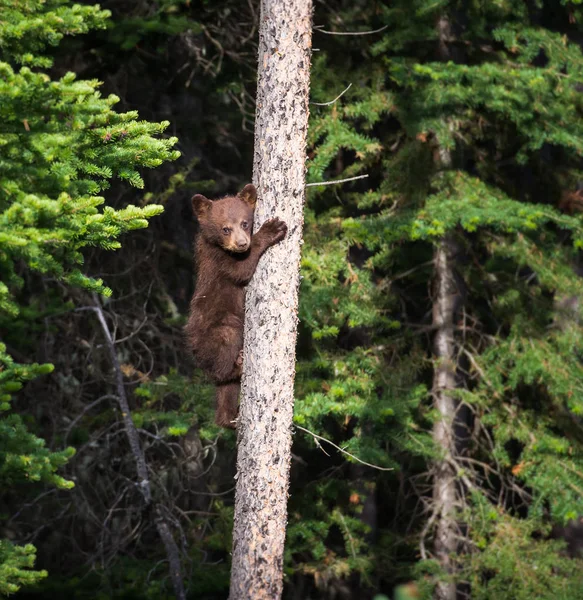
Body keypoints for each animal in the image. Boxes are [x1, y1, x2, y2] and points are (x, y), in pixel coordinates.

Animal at [186, 183, 288, 426]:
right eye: (225, 229)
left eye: (245, 223)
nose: (242, 243)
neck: (216, 245)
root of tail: (193, 350)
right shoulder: (219, 261)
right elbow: (242, 269)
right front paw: (272, 229)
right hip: (219, 332)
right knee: (224, 363)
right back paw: (238, 366)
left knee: (225, 391)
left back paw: (229, 417)